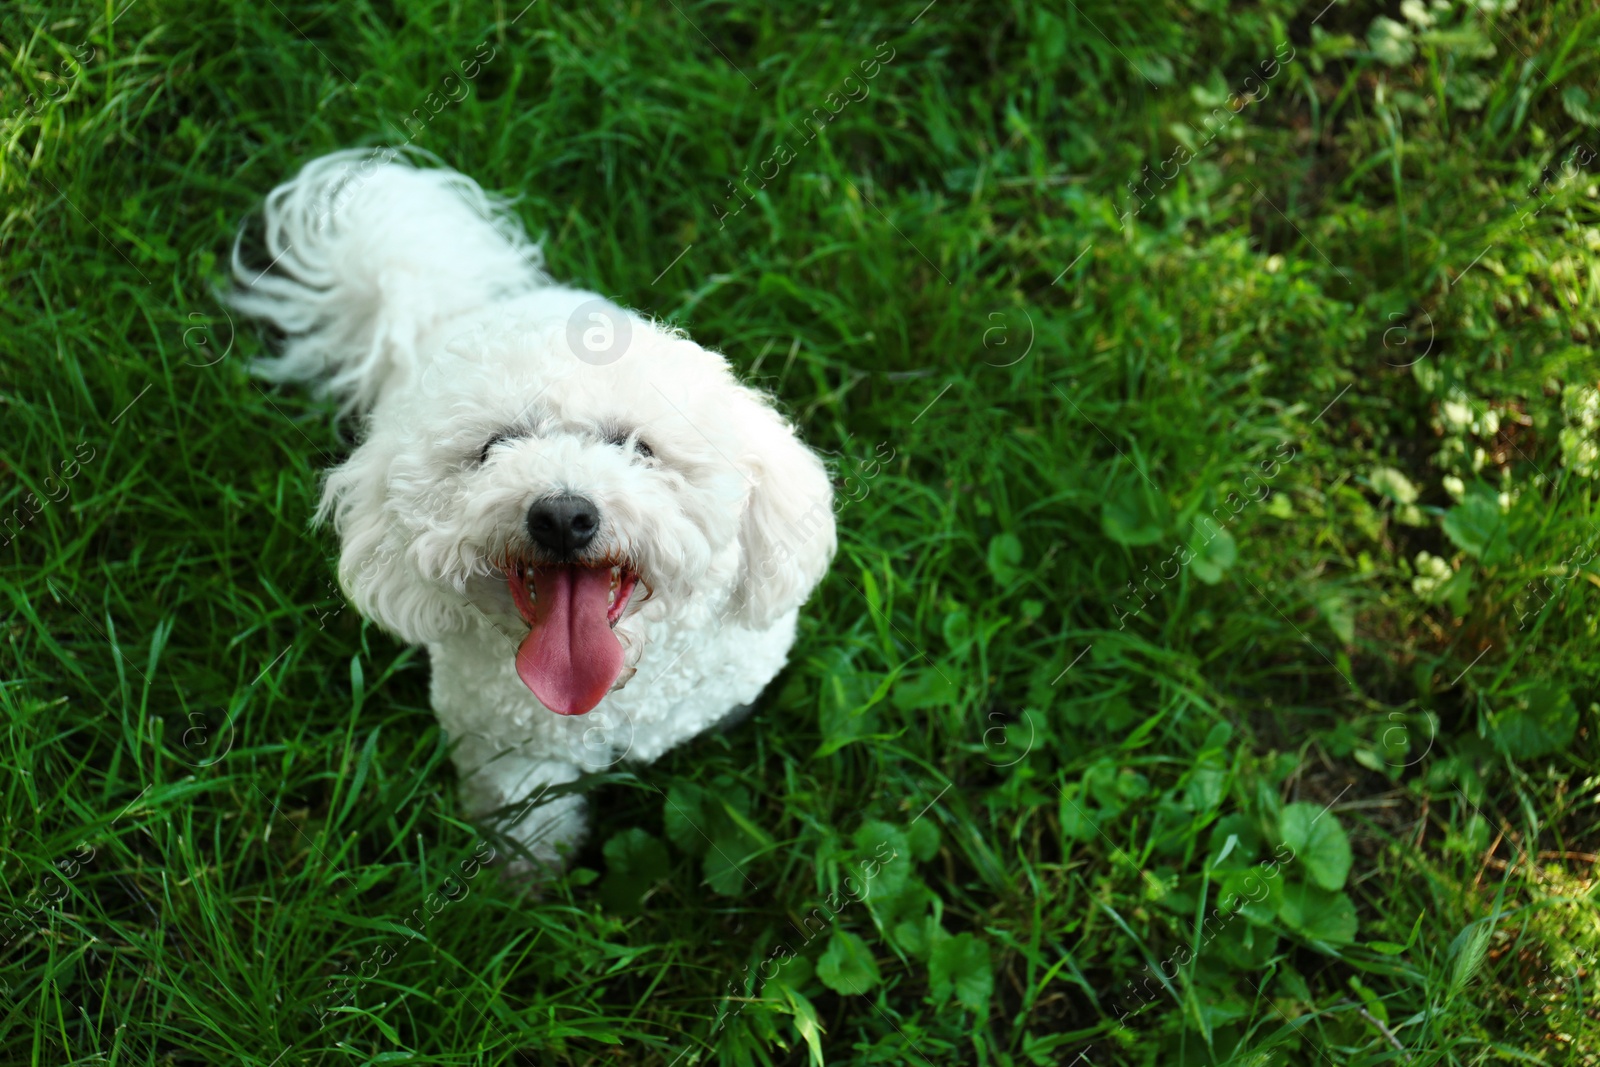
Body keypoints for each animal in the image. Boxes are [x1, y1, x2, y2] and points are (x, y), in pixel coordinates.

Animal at [236, 150, 844, 876]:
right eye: (492, 448)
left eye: (639, 447)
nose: (561, 516)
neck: (606, 696)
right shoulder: (503, 748)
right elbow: (526, 812)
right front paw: (529, 873)